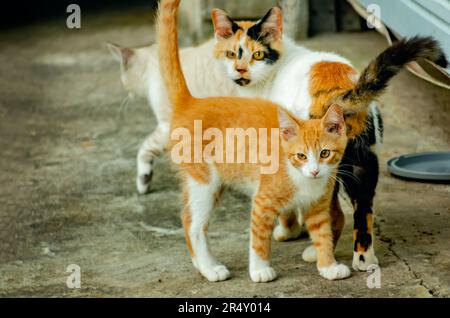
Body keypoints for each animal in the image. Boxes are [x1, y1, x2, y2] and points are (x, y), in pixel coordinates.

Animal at [158, 0, 352, 284]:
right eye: (301, 156)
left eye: (325, 153)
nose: (315, 171)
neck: (303, 179)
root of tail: (192, 102)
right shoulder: (263, 202)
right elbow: (259, 238)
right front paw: (260, 270)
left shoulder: (319, 207)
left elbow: (323, 234)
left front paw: (328, 266)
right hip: (203, 181)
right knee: (192, 222)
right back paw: (210, 268)